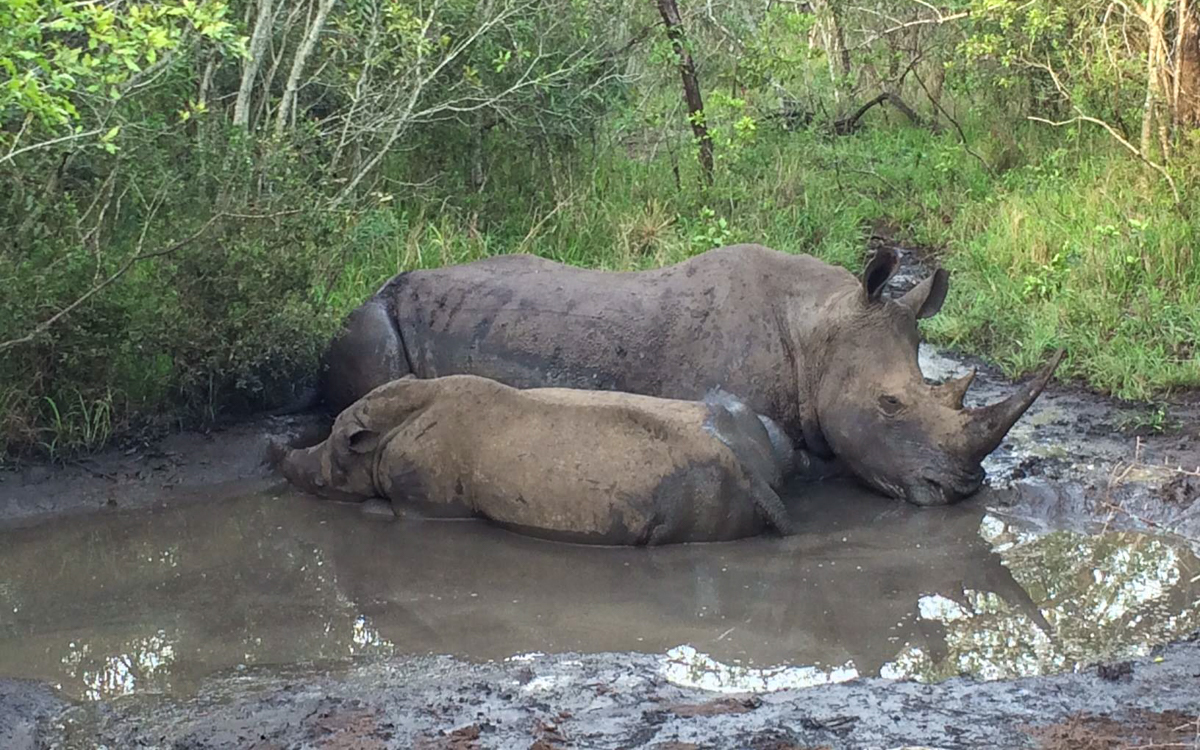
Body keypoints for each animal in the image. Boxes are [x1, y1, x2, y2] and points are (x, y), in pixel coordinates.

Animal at [277, 375, 796, 545]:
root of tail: (753, 481)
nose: (289, 462)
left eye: (323, 475)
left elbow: (381, 509)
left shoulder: (423, 504)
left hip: (697, 492)